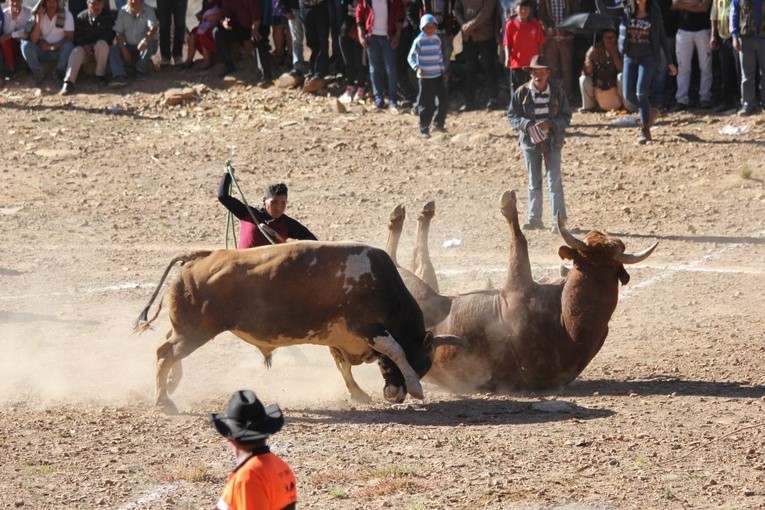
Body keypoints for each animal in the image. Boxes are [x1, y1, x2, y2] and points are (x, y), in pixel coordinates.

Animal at [134, 241, 462, 412]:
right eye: (423, 363)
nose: (395, 394)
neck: (380, 282)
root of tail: (200, 256)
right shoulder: (367, 326)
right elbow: (395, 349)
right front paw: (416, 387)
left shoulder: (338, 336)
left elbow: (343, 365)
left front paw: (357, 393)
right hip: (194, 331)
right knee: (164, 353)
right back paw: (163, 400)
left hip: (185, 329)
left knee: (168, 346)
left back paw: (172, 384)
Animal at [384, 191, 652, 390]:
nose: (601, 234)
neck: (570, 324)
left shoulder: (516, 284)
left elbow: (519, 242)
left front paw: (508, 205)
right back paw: (421, 213)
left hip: (416, 287)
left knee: (394, 256)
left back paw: (400, 218)